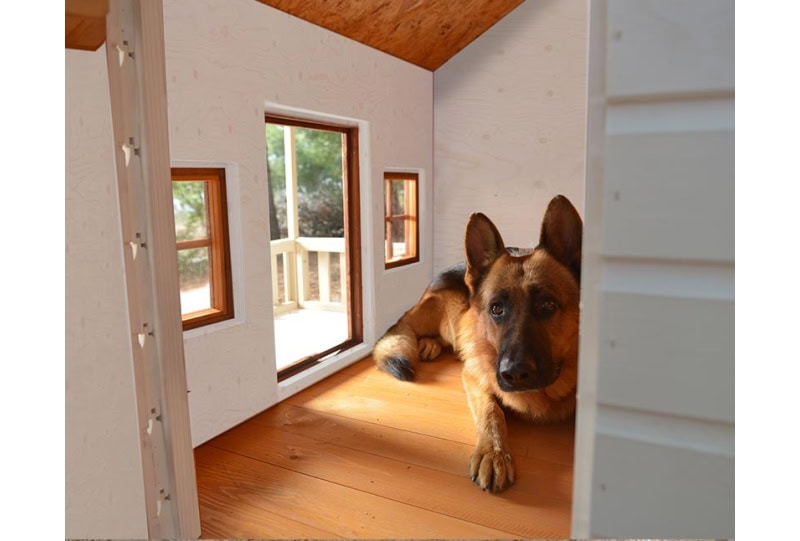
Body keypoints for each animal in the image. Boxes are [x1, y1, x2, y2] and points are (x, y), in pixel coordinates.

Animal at [372, 196, 580, 492]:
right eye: (496, 309)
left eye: (548, 305)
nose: (514, 374)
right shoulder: (475, 378)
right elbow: (492, 413)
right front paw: (493, 453)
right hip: (452, 311)